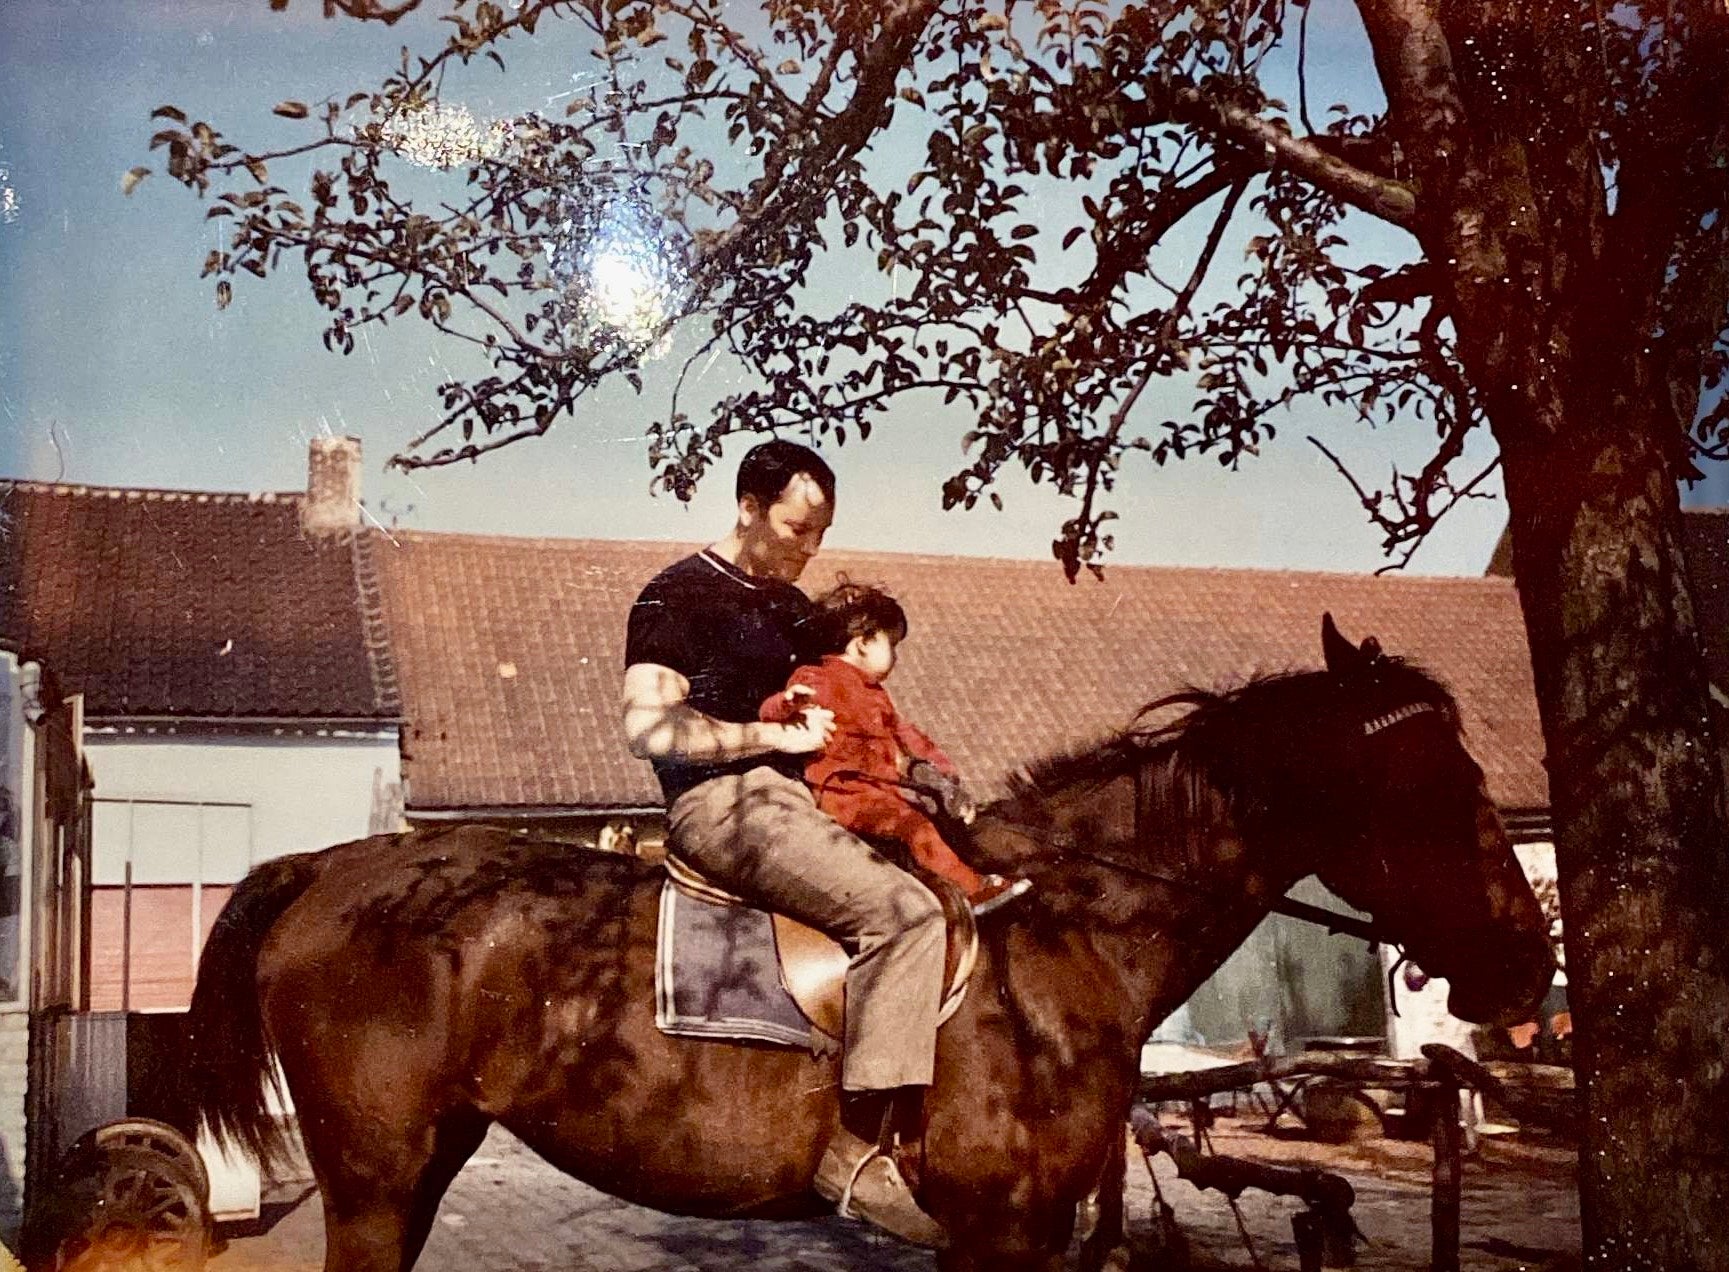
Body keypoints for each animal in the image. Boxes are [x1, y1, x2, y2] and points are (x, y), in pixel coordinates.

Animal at [185, 615, 1556, 1265]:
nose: (1525, 966)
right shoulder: (999, 1233)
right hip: (373, 1179)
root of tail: (333, 867)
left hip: (423, 1165)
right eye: (1440, 787)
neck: (1060, 935)